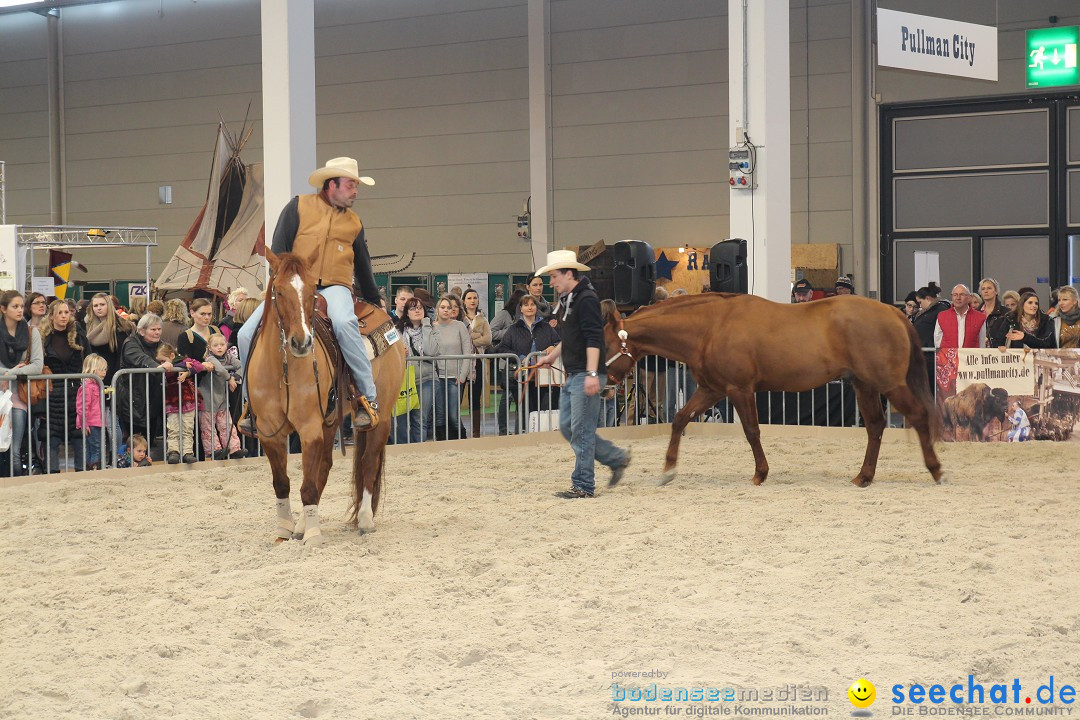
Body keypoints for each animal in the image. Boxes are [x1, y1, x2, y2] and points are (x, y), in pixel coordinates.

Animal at [247, 250, 406, 544]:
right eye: (279, 291)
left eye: (312, 291)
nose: (301, 342)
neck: (281, 369)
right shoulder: (269, 431)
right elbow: (282, 483)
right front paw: (285, 529)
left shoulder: (309, 428)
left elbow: (307, 485)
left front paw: (313, 535)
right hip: (330, 420)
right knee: (326, 465)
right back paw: (300, 525)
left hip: (381, 417)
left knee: (368, 462)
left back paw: (365, 520)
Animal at [609, 293, 946, 490]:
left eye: (609, 343)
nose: (608, 383)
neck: (711, 326)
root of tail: (894, 313)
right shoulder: (711, 390)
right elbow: (679, 419)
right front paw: (668, 470)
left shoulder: (739, 390)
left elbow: (752, 431)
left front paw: (760, 473)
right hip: (864, 385)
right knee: (875, 427)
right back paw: (864, 476)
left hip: (890, 385)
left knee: (917, 417)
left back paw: (936, 471)